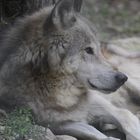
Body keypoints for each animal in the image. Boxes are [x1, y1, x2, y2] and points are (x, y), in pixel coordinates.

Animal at [0, 0, 140, 140]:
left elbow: (125, 115)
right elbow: (93, 132)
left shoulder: (94, 101)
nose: (122, 78)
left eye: (98, 50)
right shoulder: (55, 124)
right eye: (88, 50)